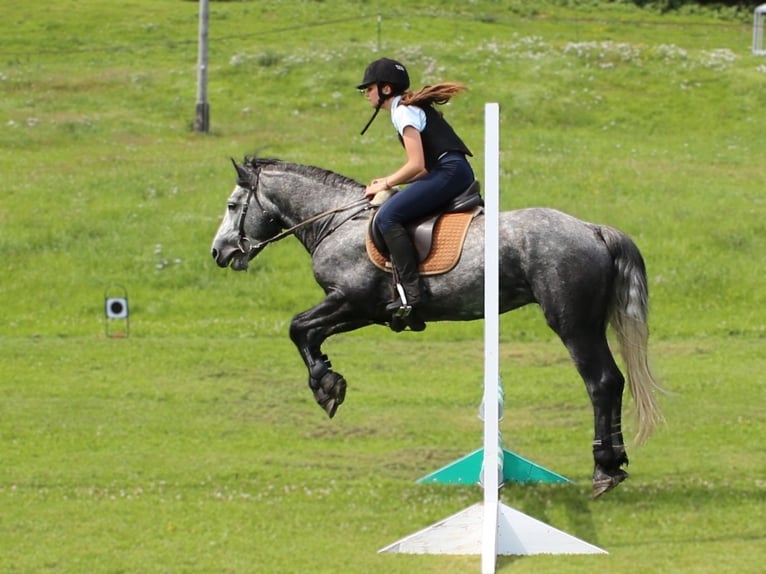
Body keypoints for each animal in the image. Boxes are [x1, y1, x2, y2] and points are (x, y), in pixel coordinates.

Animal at [213, 158, 664, 500]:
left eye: (234, 205)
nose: (219, 252)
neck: (339, 223)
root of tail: (593, 230)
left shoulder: (350, 300)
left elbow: (297, 327)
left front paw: (326, 386)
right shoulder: (362, 311)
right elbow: (309, 333)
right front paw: (328, 380)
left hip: (572, 325)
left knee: (600, 383)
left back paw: (604, 468)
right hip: (589, 324)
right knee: (613, 381)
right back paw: (615, 463)